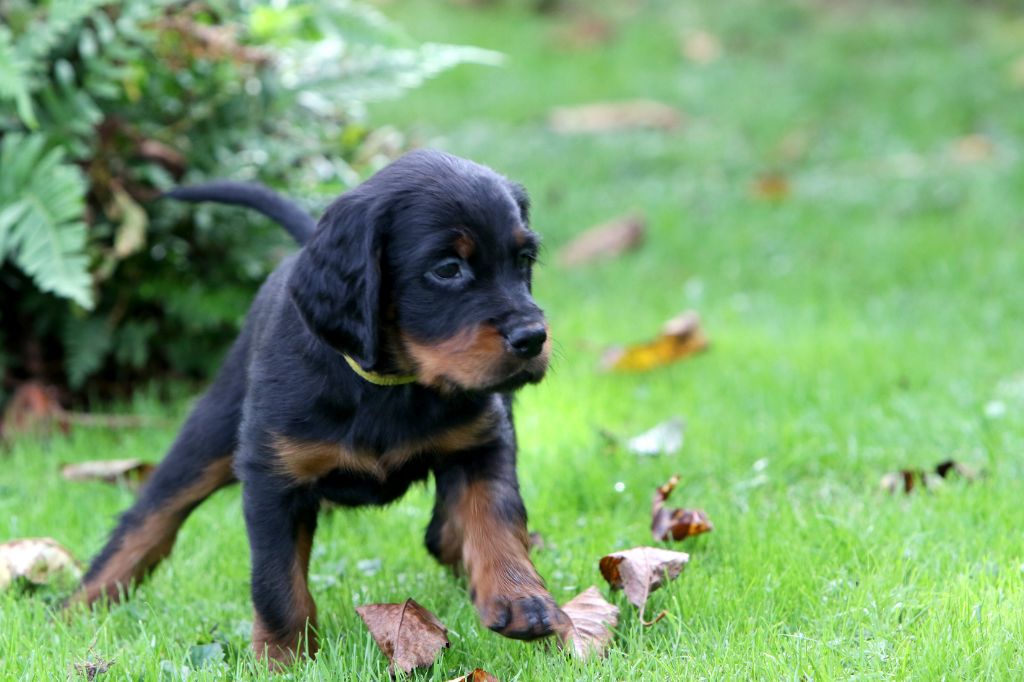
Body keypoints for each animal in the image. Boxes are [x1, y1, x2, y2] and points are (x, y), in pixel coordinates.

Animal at [71, 149, 567, 665]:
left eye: (523, 260)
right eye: (448, 269)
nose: (533, 338)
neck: (388, 382)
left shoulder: (481, 444)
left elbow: (497, 518)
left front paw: (521, 599)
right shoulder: (272, 480)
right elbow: (277, 583)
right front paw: (283, 660)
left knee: (447, 533)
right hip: (213, 429)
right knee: (151, 513)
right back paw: (79, 606)